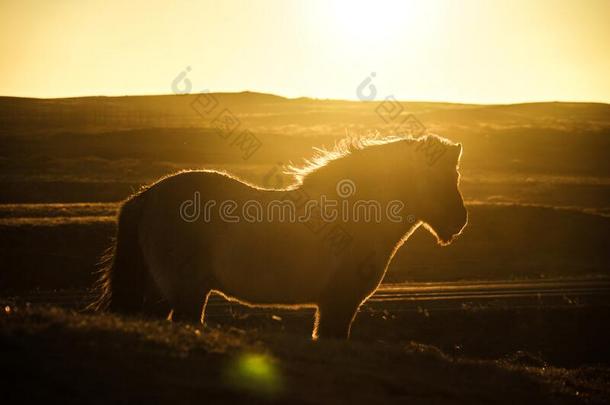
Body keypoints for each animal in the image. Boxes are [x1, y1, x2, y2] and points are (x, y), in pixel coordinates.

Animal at [92, 133, 468, 338]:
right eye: (444, 178)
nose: (459, 221)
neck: (351, 215)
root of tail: (147, 197)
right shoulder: (339, 304)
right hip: (186, 294)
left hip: (161, 295)